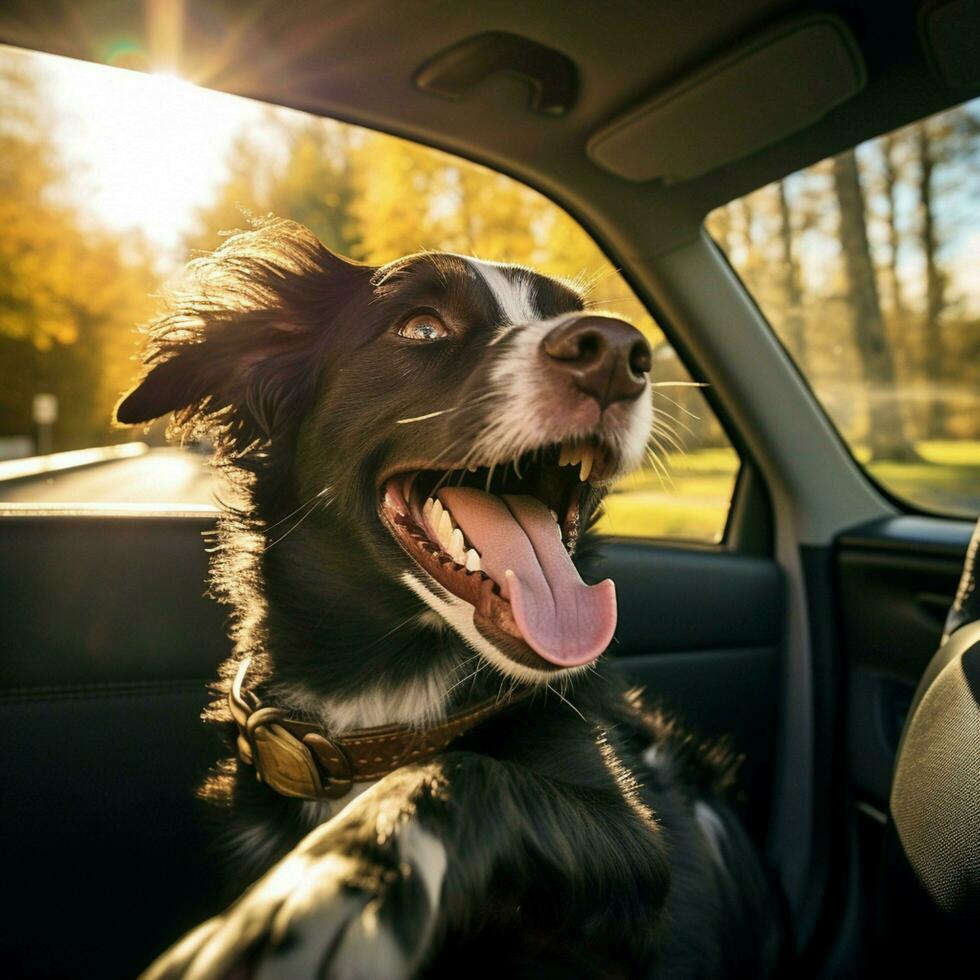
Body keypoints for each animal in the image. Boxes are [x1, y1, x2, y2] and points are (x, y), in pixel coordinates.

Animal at [118, 222, 784, 980]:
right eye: (422, 327)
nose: (620, 354)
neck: (386, 702)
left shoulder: (641, 852)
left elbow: (465, 774)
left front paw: (327, 890)